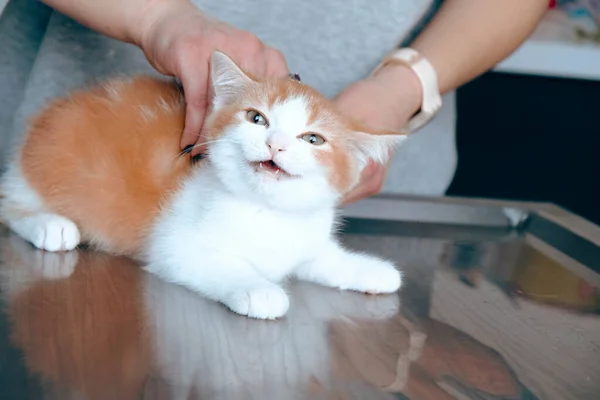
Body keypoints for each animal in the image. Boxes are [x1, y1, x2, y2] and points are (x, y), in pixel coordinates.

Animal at [0, 51, 408, 318]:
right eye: (256, 118)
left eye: (313, 139)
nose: (275, 144)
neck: (265, 212)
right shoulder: (173, 247)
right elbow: (218, 264)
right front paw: (259, 290)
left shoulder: (302, 240)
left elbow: (321, 258)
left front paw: (368, 269)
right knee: (9, 203)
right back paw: (49, 225)